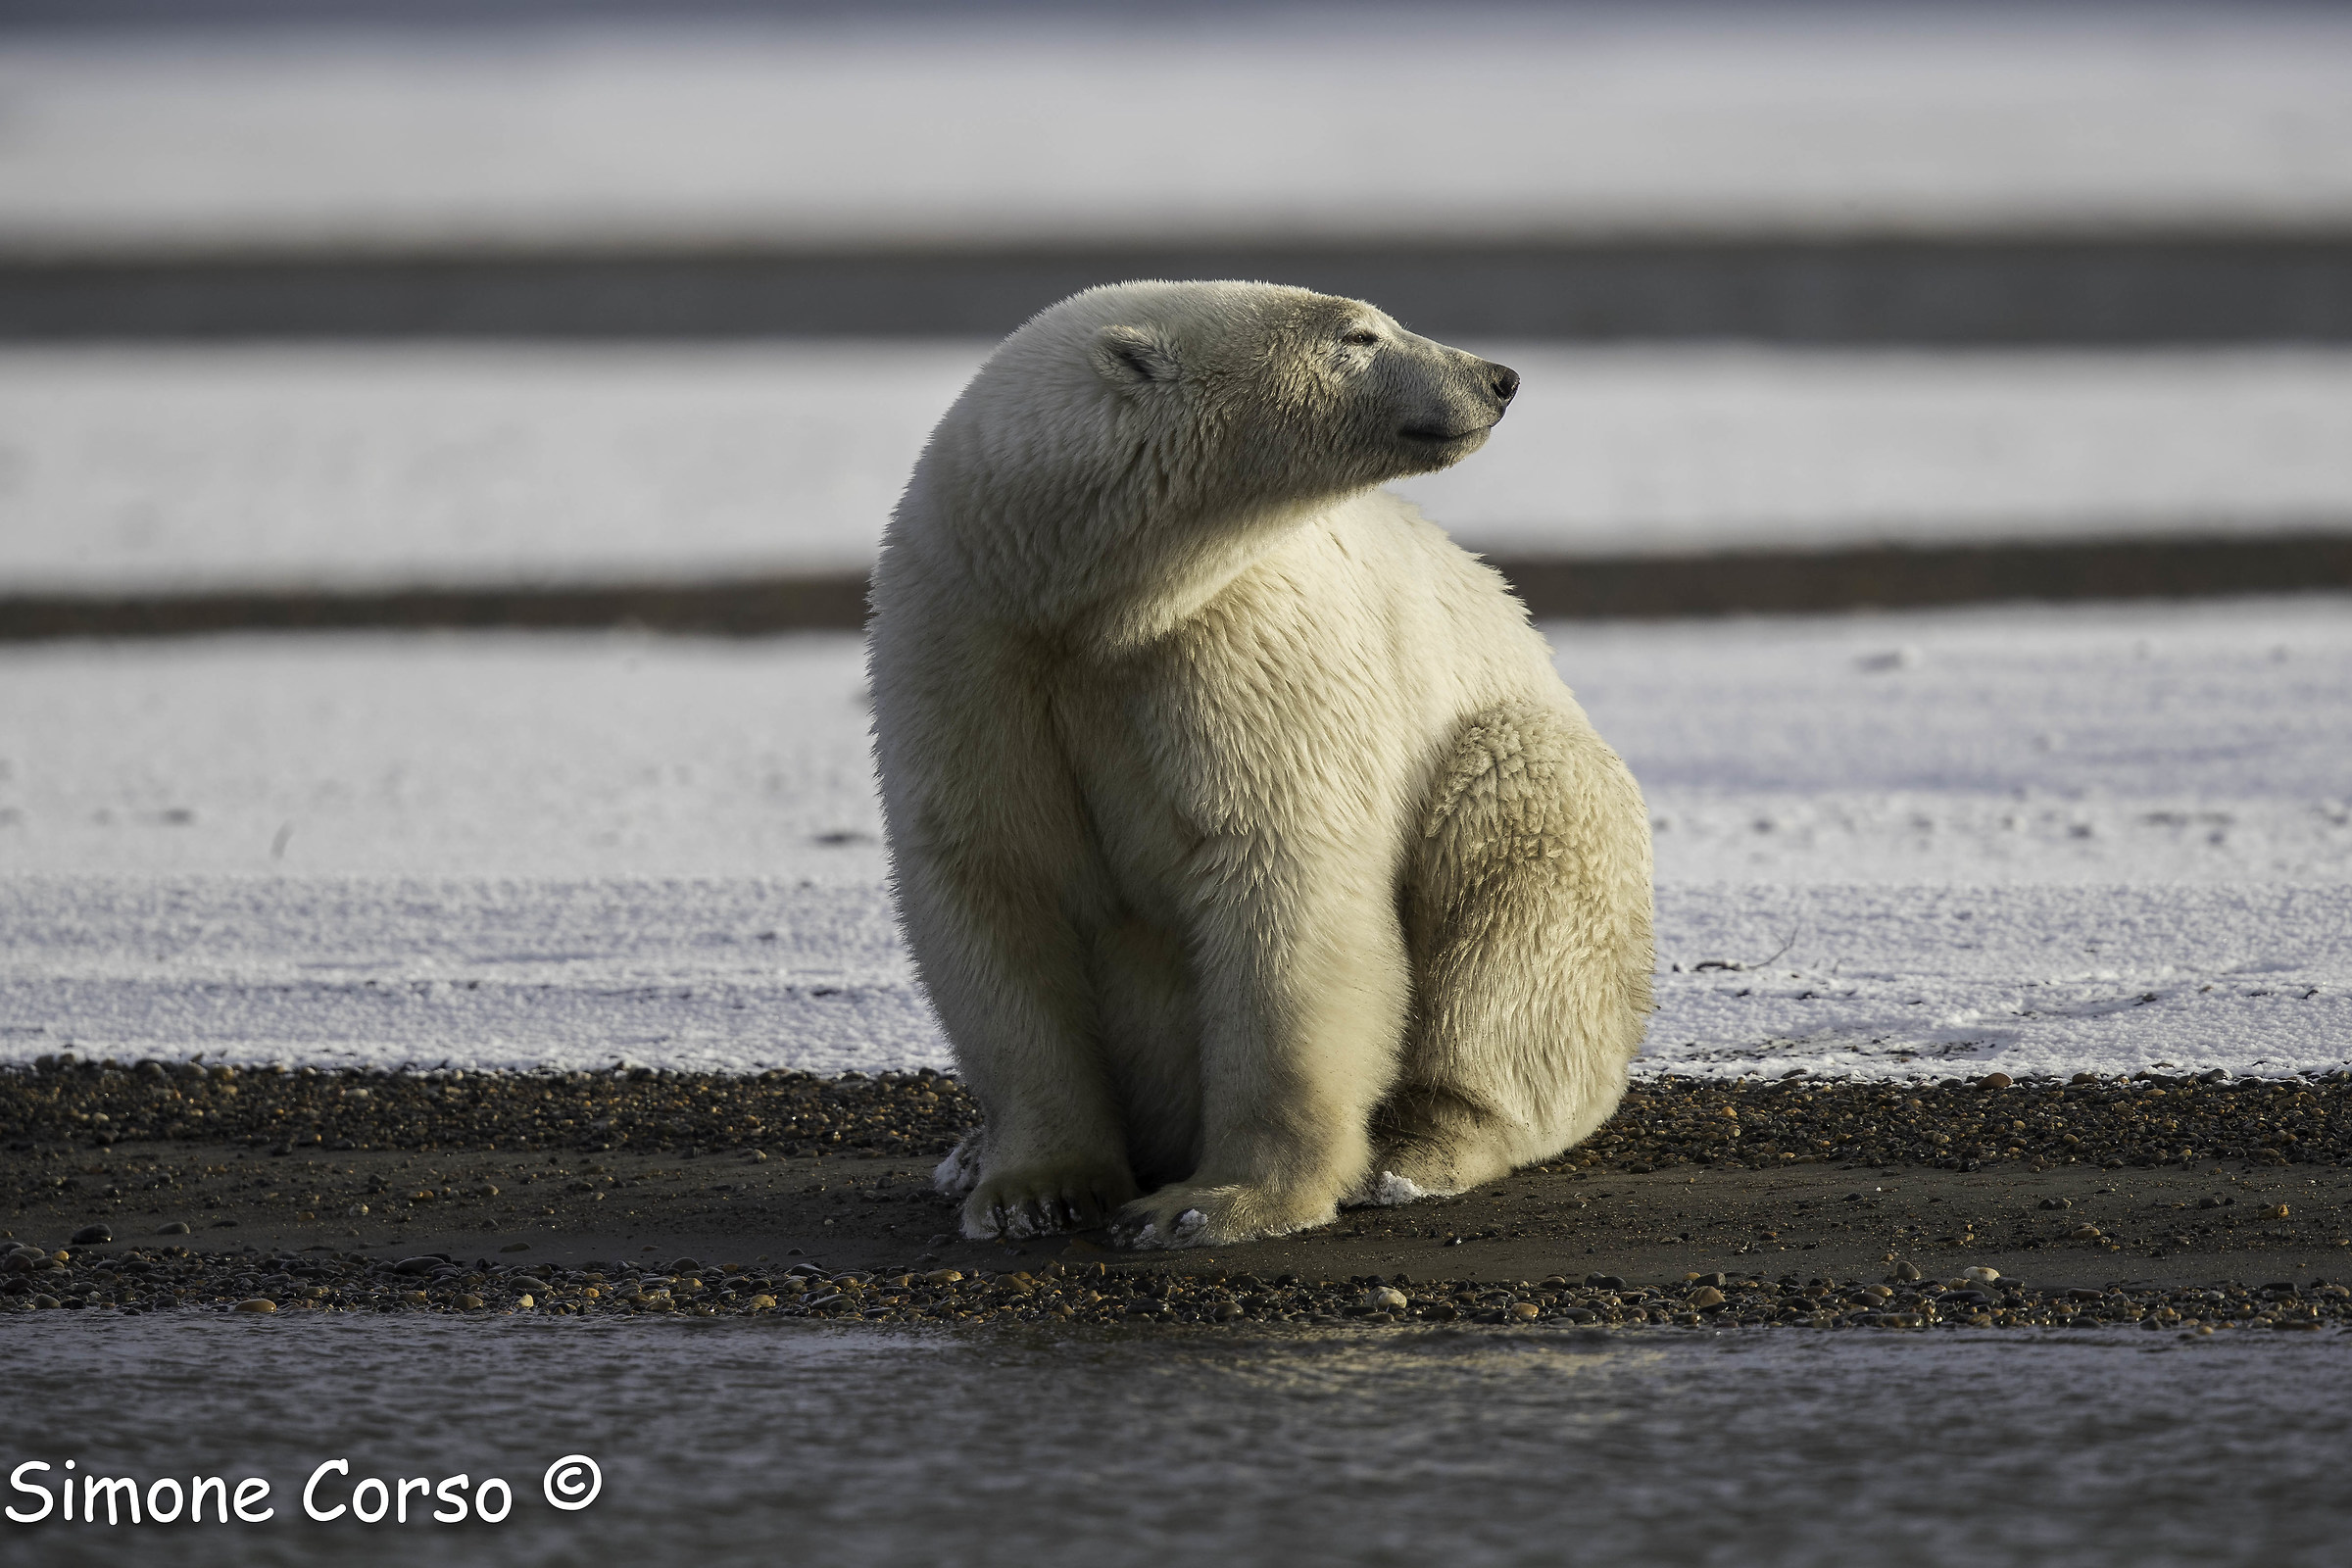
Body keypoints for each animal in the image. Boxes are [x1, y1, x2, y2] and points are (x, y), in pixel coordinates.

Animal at [867, 280, 1653, 1249]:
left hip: (1525, 779)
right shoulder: (971, 653)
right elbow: (998, 882)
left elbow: (1279, 885)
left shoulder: (1244, 648)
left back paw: (1415, 1151)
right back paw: (966, 1155)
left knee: (1513, 883)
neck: (1085, 605)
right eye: (1360, 335)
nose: (1497, 378)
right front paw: (1030, 1192)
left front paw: (1211, 1204)